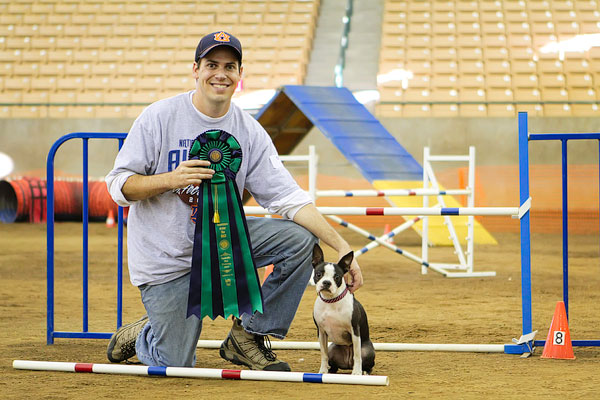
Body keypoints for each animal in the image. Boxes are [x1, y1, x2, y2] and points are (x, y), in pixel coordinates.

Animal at [312, 244, 372, 376]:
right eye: (319, 274)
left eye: (337, 277)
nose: (326, 282)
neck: (331, 301)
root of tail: (347, 364)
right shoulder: (321, 332)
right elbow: (323, 355)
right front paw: (322, 370)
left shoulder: (354, 330)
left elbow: (357, 355)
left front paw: (356, 372)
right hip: (333, 348)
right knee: (331, 359)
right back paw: (331, 370)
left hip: (367, 349)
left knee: (363, 359)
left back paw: (364, 371)